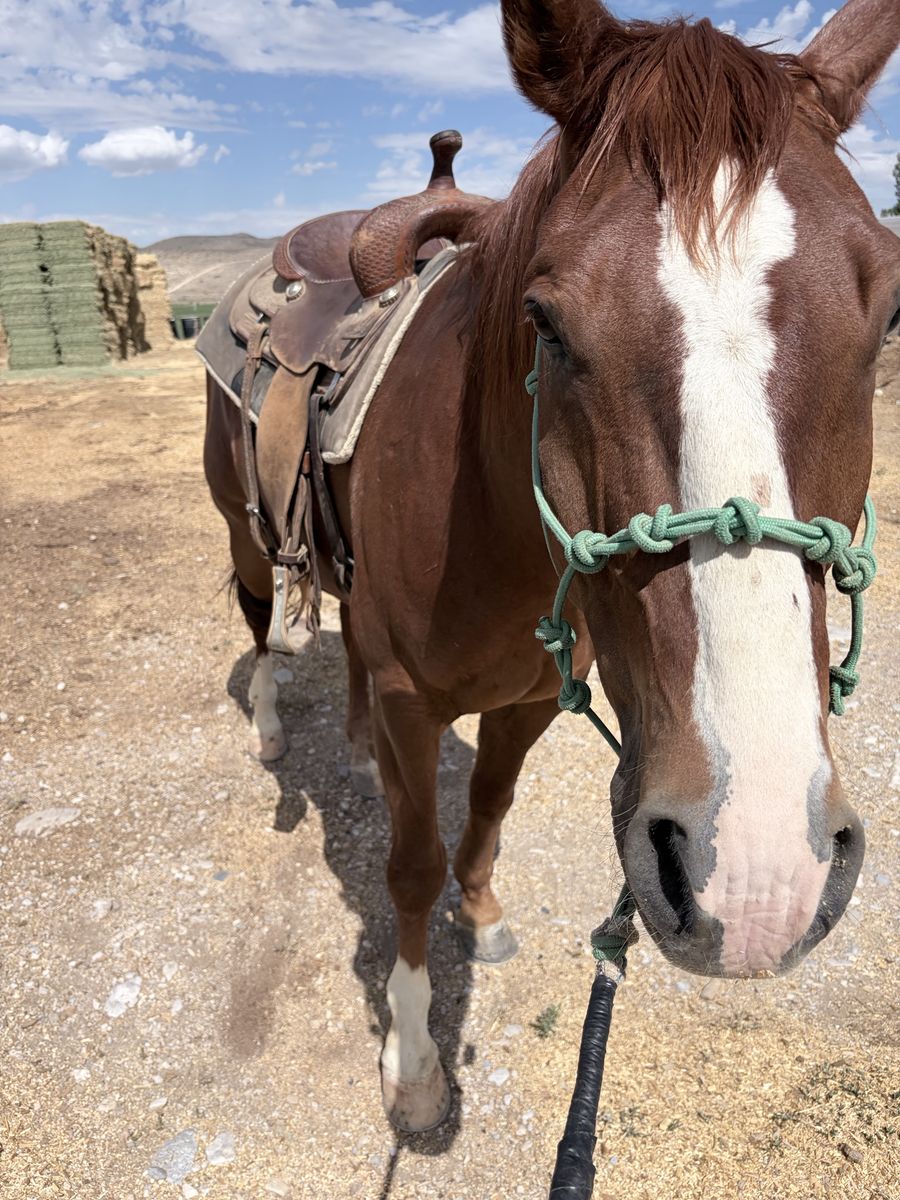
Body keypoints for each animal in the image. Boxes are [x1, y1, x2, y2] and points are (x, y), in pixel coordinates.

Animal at [203, 0, 900, 1133]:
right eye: (546, 320)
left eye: (888, 314)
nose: (758, 877)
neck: (490, 530)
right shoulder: (411, 701)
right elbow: (410, 864)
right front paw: (414, 1062)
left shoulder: (528, 699)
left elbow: (486, 813)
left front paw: (483, 917)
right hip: (240, 525)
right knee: (263, 619)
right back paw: (269, 723)